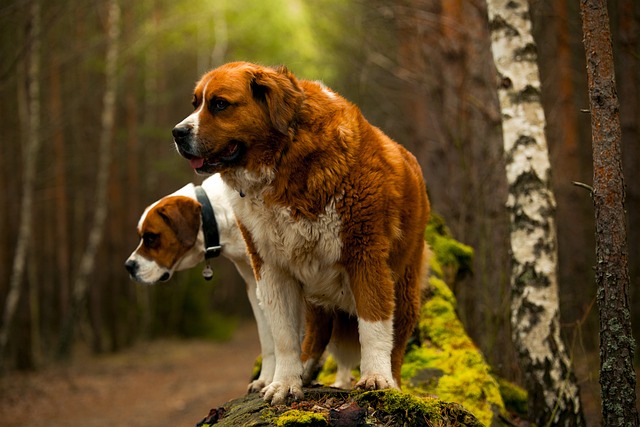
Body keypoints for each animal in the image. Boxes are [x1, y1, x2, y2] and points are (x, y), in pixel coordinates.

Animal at [171, 61, 430, 406]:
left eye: (220, 104)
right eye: (195, 103)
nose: (177, 132)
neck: (285, 160)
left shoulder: (366, 256)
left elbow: (373, 325)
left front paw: (377, 378)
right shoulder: (271, 266)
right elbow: (283, 336)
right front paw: (284, 383)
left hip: (405, 285)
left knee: (396, 338)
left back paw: (392, 379)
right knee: (316, 332)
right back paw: (304, 370)